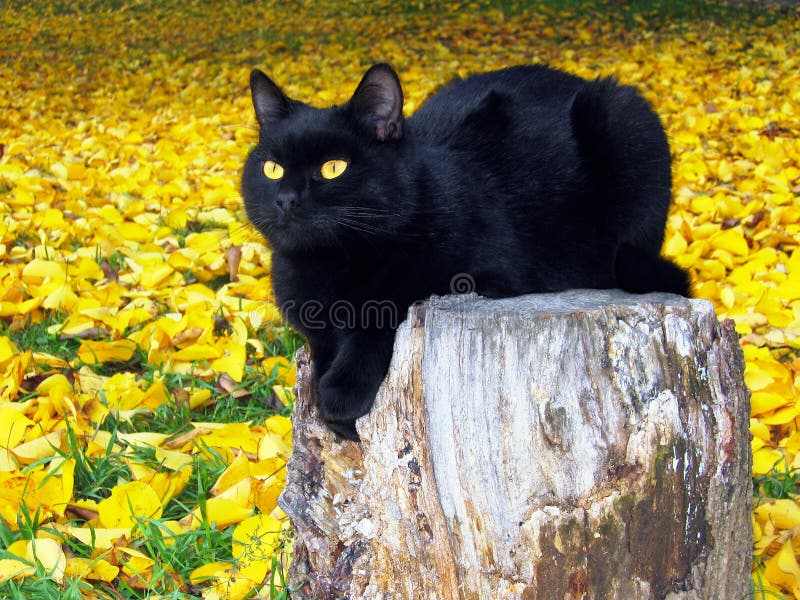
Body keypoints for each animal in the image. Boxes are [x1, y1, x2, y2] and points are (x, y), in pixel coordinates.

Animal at [241, 63, 692, 442]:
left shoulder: (488, 277)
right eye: (272, 169)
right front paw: (327, 399)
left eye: (334, 168)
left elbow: (386, 306)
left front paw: (343, 392)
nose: (285, 199)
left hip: (621, 114)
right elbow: (322, 344)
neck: (329, 265)